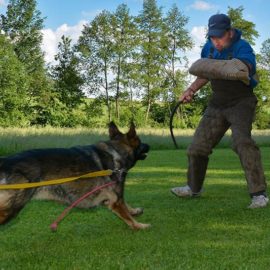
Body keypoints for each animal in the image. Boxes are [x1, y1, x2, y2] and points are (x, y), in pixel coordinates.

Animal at [0, 122, 150, 230]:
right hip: (11, 208)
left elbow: (127, 206)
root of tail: (5, 161)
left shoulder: (115, 198)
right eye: (140, 141)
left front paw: (134, 211)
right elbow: (127, 215)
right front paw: (139, 225)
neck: (117, 152)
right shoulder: (116, 200)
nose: (148, 145)